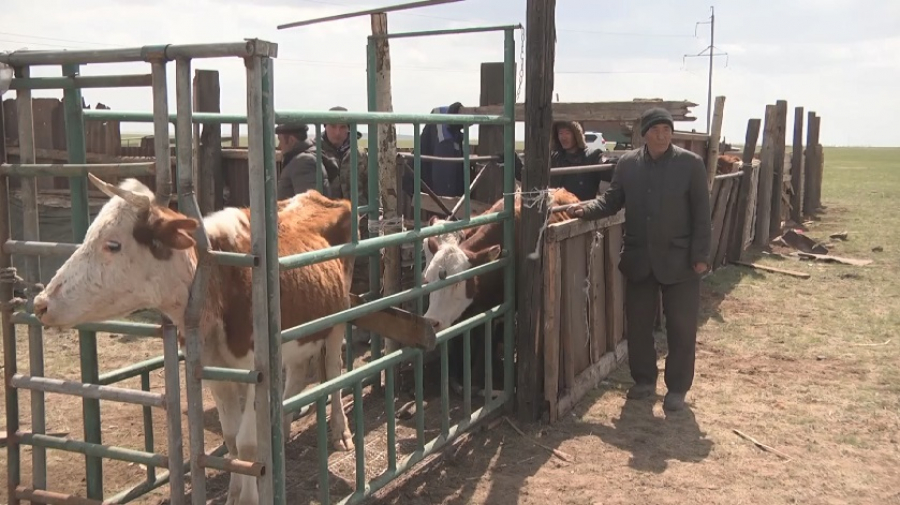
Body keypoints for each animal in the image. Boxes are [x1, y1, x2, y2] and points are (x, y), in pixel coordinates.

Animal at [35, 174, 358, 504]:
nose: (41, 304)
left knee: (334, 370)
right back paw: (283, 426)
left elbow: (247, 442)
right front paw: (234, 493)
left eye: (113, 244)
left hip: (339, 314)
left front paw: (249, 497)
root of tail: (321, 196)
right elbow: (232, 438)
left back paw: (341, 432)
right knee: (297, 372)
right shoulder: (213, 368)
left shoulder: (255, 370)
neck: (219, 282)